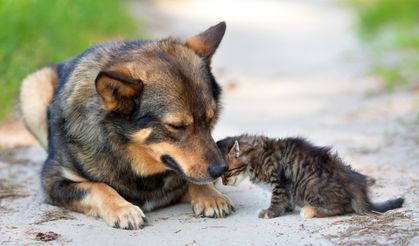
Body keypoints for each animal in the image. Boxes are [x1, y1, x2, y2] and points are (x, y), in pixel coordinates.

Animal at [19, 22, 235, 230]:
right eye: (177, 126)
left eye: (210, 119)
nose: (221, 169)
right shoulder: (53, 182)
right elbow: (97, 187)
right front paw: (122, 209)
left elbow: (192, 179)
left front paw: (211, 196)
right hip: (33, 87)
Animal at [217, 135, 404, 219]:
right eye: (221, 175)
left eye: (228, 172)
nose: (224, 183)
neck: (257, 157)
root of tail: (357, 186)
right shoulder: (285, 187)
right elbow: (286, 199)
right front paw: (287, 208)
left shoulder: (280, 181)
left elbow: (276, 200)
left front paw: (269, 212)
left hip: (310, 185)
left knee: (342, 207)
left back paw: (309, 210)